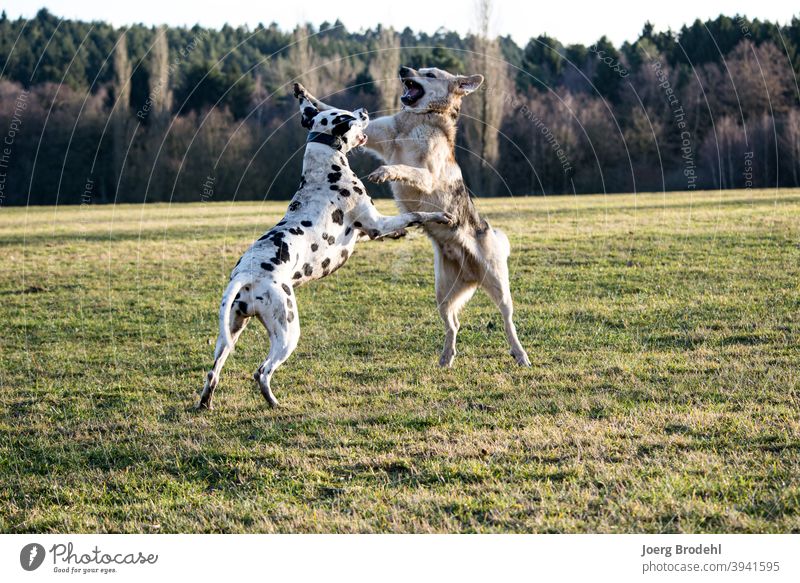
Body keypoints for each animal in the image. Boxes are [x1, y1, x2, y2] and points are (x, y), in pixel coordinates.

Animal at [197, 83, 454, 410]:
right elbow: (415, 215)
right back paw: (274, 403)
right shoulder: (376, 223)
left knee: (213, 371)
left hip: (229, 333)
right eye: (347, 116)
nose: (364, 110)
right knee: (261, 372)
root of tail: (246, 276)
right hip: (287, 331)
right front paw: (442, 216)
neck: (324, 170)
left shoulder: (365, 231)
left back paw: (206, 402)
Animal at [296, 68, 528, 368]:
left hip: (498, 285)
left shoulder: (427, 175)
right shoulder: (377, 135)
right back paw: (446, 357)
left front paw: (384, 172)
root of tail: (471, 273)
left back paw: (519, 353)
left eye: (429, 73)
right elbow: (327, 104)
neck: (419, 118)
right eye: (419, 67)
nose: (404, 70)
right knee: (454, 324)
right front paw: (303, 93)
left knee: (507, 320)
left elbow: (403, 168)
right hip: (443, 294)